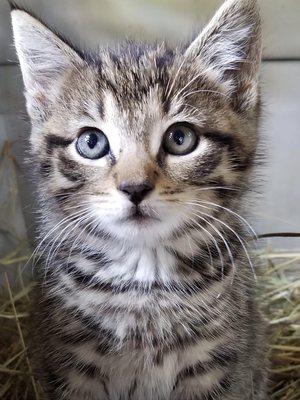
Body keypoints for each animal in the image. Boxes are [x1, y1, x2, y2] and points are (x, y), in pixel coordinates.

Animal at [10, 0, 268, 400]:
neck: (145, 280)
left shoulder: (222, 366)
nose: (134, 188)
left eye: (180, 138)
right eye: (91, 142)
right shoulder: (70, 366)